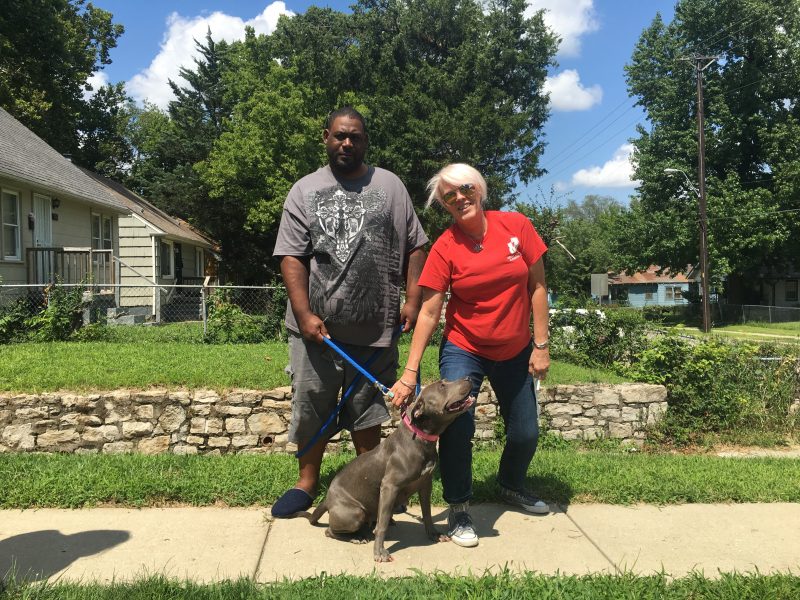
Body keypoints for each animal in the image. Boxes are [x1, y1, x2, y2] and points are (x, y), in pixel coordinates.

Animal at [308, 380, 472, 564]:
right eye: (442, 386)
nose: (468, 378)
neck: (421, 439)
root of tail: (327, 500)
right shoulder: (389, 487)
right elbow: (382, 525)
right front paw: (379, 552)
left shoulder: (425, 484)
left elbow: (427, 513)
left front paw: (433, 534)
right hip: (355, 513)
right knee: (330, 531)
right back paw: (357, 537)